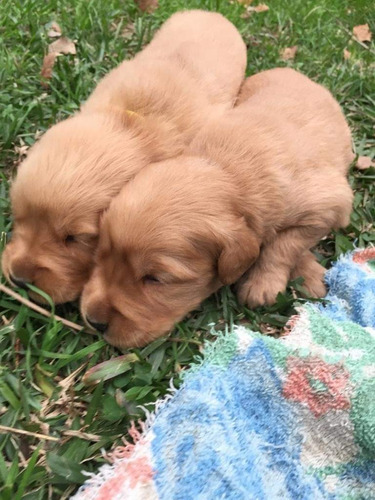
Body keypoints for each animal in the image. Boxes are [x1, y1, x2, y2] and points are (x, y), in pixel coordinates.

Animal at [81, 67, 356, 348]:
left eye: (156, 279)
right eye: (100, 254)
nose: (94, 322)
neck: (225, 168)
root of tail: (290, 70)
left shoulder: (331, 202)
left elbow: (284, 244)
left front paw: (263, 283)